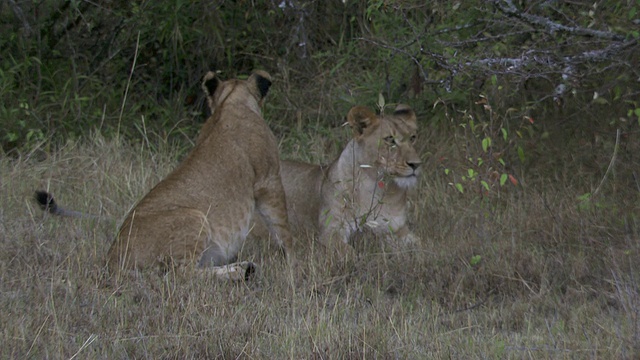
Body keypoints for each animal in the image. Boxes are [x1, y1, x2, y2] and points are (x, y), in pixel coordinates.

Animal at [37, 69, 292, 278]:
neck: (229, 103)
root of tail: (112, 260)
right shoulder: (268, 180)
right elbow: (281, 224)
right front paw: (296, 256)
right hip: (193, 218)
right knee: (182, 275)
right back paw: (241, 272)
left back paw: (245, 268)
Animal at [252, 104, 422, 256]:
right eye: (390, 140)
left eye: (413, 137)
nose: (416, 164)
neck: (379, 186)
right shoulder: (331, 232)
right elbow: (350, 254)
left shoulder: (397, 229)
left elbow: (422, 244)